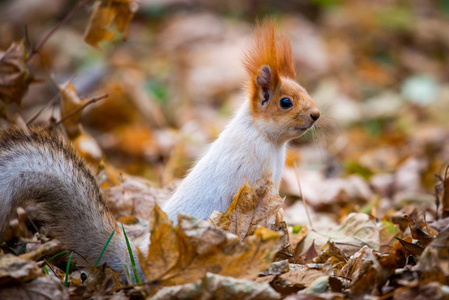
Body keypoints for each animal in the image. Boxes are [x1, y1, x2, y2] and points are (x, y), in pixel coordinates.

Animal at [0, 19, 318, 282]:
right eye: (286, 102)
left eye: (305, 91)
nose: (316, 114)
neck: (263, 136)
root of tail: (136, 258)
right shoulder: (258, 172)